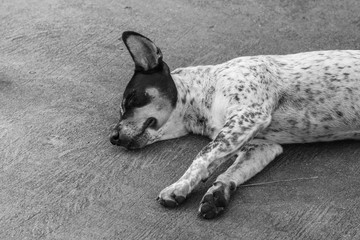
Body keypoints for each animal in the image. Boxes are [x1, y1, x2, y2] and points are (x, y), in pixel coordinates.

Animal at [109, 31, 360, 218]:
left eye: (130, 99)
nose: (112, 137)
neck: (207, 90)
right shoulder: (260, 145)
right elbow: (232, 170)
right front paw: (218, 192)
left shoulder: (248, 115)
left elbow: (202, 156)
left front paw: (179, 186)